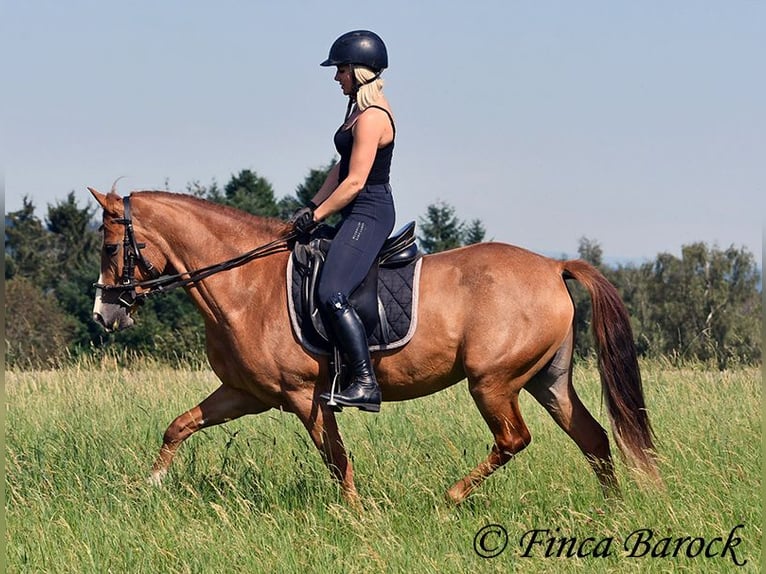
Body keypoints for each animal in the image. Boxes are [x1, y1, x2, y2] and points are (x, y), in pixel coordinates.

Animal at [90, 187, 664, 506]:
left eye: (111, 246)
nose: (104, 314)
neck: (245, 283)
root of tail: (552, 265)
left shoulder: (302, 396)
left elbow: (336, 458)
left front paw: (355, 516)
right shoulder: (245, 393)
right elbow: (178, 426)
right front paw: (149, 487)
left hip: (493, 382)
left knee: (513, 440)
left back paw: (449, 499)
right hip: (549, 381)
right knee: (594, 438)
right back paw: (612, 512)